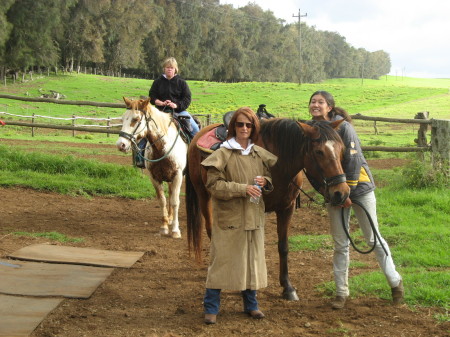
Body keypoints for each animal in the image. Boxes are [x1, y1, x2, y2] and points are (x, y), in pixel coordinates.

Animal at [118, 96, 188, 239]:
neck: (162, 148)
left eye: (136, 119)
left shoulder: (178, 176)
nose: (121, 145)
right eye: (123, 119)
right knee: (170, 193)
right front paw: (164, 227)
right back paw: (170, 218)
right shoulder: (154, 177)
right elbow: (162, 200)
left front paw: (175, 230)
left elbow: (175, 201)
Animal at [185, 117, 350, 300]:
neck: (278, 165)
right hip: (203, 195)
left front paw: (287, 287)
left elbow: (283, 247)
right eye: (319, 152)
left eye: (341, 149)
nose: (341, 193)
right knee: (210, 230)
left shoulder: (286, 208)